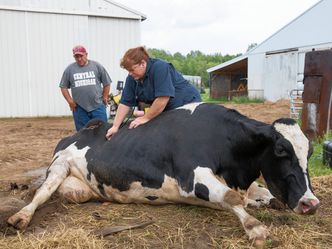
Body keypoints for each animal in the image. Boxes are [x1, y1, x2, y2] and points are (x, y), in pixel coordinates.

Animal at [7, 102, 320, 245]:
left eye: (310, 153)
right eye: (281, 151)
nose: (311, 203)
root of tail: (82, 129)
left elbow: (261, 195)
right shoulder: (191, 177)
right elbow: (230, 198)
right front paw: (255, 228)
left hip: (79, 190)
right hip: (59, 166)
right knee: (41, 193)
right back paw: (20, 217)